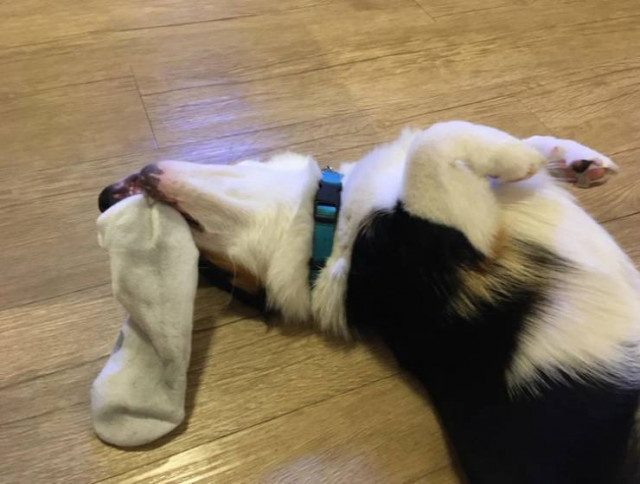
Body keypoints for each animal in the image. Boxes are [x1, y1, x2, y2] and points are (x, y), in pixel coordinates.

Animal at [99, 121, 638, 483]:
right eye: (207, 272)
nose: (103, 196)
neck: (328, 221)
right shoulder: (458, 239)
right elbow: (433, 142)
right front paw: (521, 159)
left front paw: (575, 160)